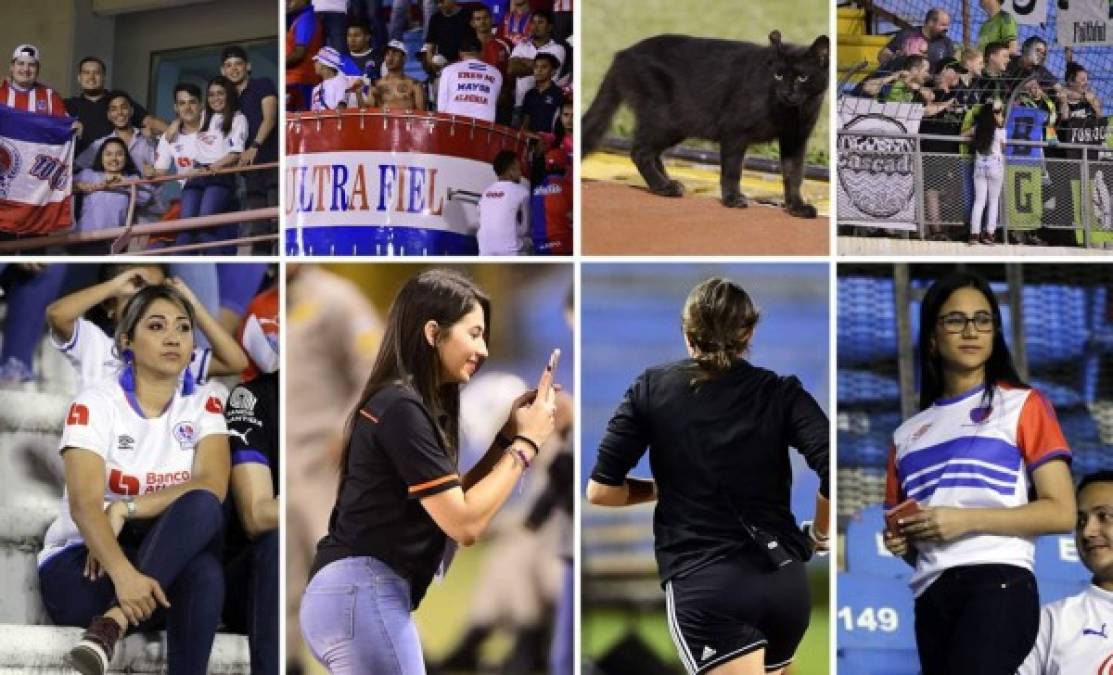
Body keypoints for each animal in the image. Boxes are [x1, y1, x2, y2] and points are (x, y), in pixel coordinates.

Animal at [583, 31, 828, 217]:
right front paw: (732, 199)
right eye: (778, 75)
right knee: (639, 151)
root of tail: (624, 54)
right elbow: (732, 170)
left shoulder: (795, 140)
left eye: (802, 77)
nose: (786, 91)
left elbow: (794, 174)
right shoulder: (735, 132)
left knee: (650, 152)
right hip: (669, 120)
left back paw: (668, 183)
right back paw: (664, 188)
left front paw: (796, 207)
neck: (790, 112)